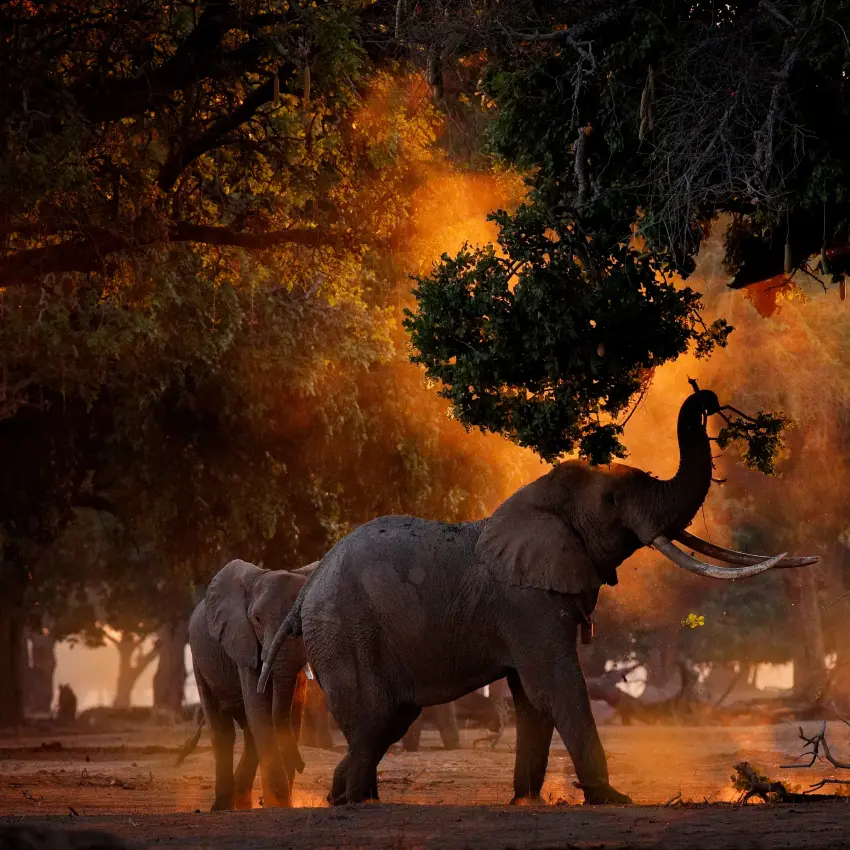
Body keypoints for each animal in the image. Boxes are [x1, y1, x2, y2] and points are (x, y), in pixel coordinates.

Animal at [188, 559, 317, 810]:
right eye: (257, 619)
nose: (302, 765)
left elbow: (292, 711)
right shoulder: (241, 641)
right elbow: (259, 707)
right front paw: (279, 805)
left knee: (250, 732)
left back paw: (242, 803)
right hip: (199, 659)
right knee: (223, 729)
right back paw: (222, 806)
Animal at [260, 388, 818, 806]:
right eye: (613, 500)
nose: (707, 397)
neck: (539, 498)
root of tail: (308, 586)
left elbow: (531, 698)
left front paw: (526, 800)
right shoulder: (526, 602)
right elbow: (556, 684)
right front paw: (611, 799)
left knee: (384, 722)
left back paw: (345, 797)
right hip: (345, 631)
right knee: (377, 719)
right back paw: (354, 801)